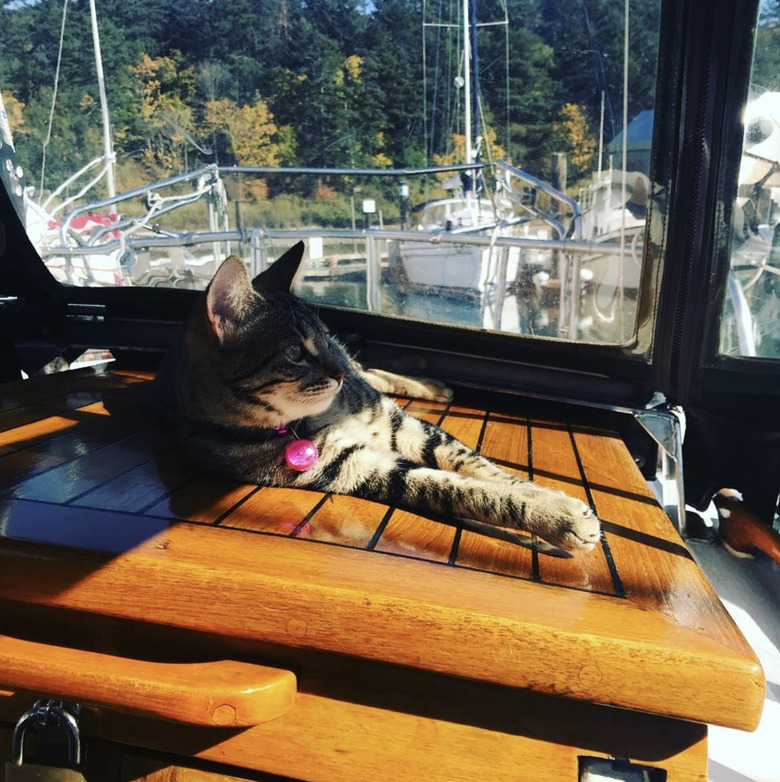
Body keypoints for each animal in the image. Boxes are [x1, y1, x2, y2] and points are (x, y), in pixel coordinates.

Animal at [155, 242, 600, 556]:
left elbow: (483, 469)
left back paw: (428, 383)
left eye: (324, 336)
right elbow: (465, 489)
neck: (318, 417)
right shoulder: (360, 468)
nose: (337, 373)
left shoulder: (402, 423)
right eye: (295, 352)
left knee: (371, 370)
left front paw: (549, 499)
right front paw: (558, 517)